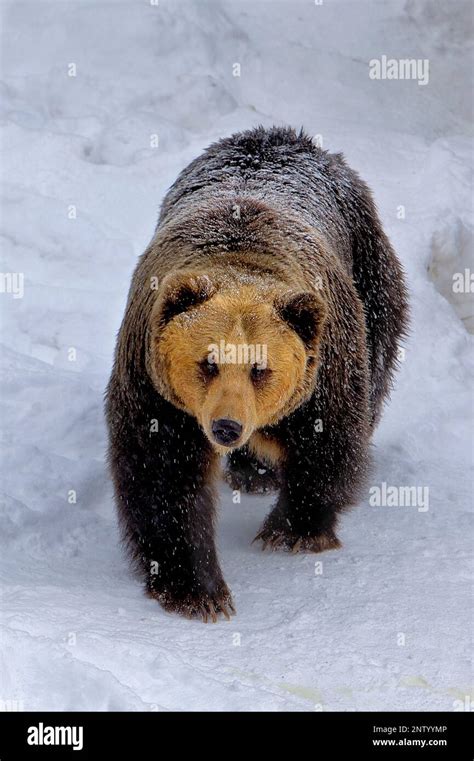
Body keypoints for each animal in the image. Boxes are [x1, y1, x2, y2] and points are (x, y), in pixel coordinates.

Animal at [105, 124, 410, 620]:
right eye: (209, 361)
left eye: (259, 368)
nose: (227, 427)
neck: (242, 263)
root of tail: (289, 138)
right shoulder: (156, 387)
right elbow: (163, 475)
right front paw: (198, 590)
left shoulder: (325, 366)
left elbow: (328, 443)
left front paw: (291, 530)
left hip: (371, 277)